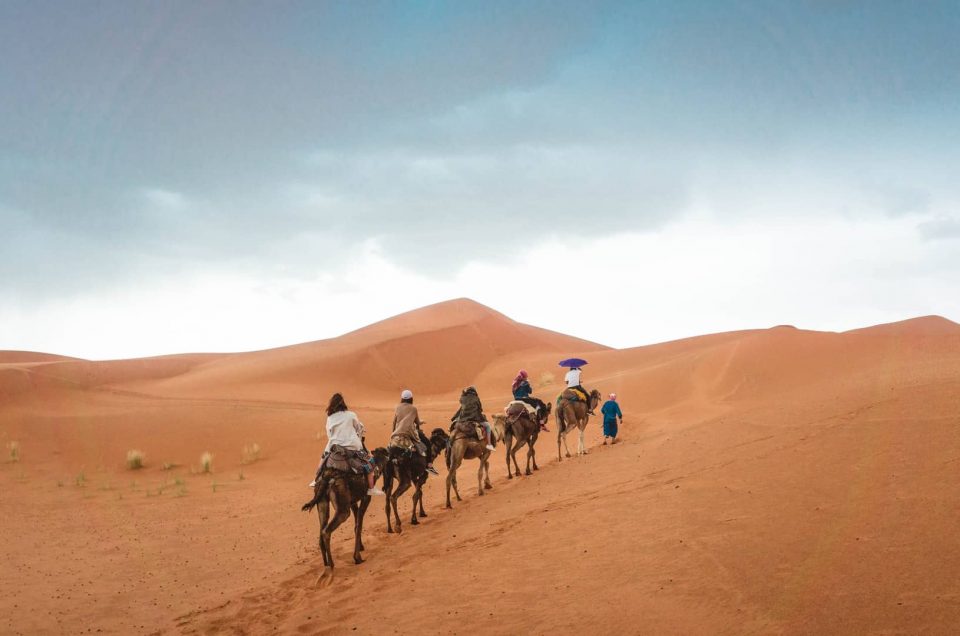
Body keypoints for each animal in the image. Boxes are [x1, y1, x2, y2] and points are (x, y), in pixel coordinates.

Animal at [302, 444, 388, 584]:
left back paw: (325, 566)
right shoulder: (365, 497)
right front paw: (357, 557)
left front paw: (361, 547)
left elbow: (356, 522)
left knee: (321, 531)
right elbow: (359, 525)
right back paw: (331, 567)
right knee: (326, 531)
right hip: (343, 509)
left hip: (322, 503)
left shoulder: (352, 501)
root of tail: (327, 476)